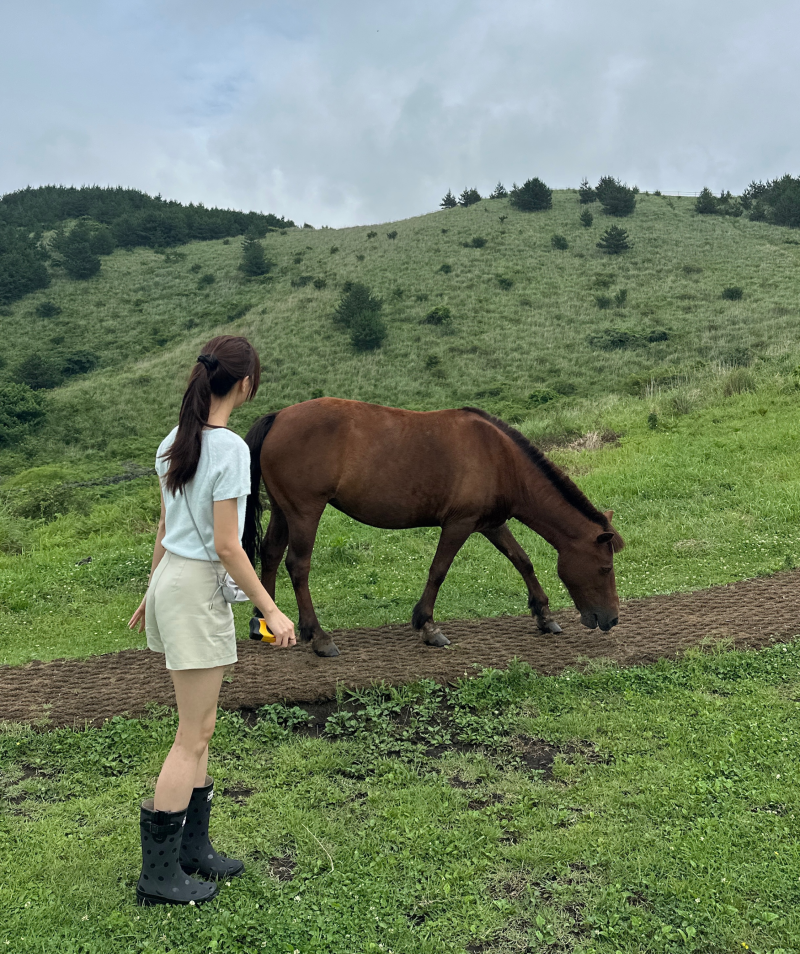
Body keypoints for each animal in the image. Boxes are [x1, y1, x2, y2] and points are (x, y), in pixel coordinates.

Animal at [243, 398, 624, 657]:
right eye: (605, 568)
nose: (611, 620)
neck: (500, 458)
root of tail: (278, 417)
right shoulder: (459, 524)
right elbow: (439, 571)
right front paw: (427, 625)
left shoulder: (492, 524)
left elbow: (523, 561)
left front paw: (543, 616)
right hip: (305, 512)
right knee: (297, 566)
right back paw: (318, 636)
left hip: (283, 511)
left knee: (271, 556)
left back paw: (264, 622)